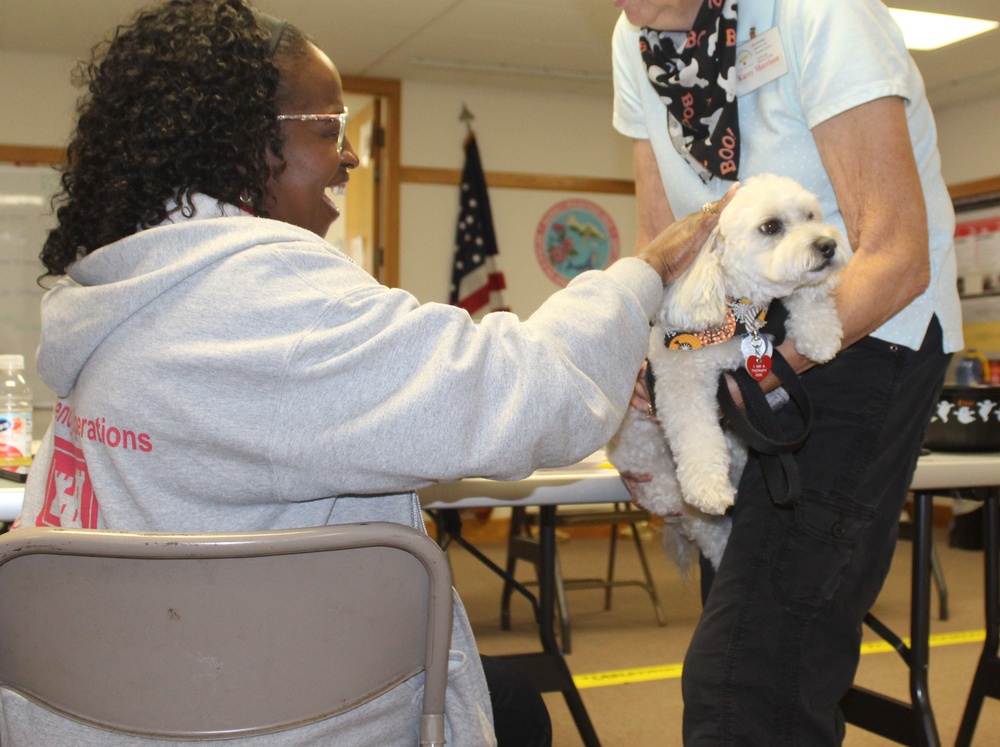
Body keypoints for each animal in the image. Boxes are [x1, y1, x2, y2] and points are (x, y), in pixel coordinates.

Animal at [604, 175, 848, 568]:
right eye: (771, 227)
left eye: (811, 216)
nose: (827, 245)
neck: (739, 313)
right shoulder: (681, 384)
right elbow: (697, 436)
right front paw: (708, 487)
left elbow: (804, 296)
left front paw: (820, 334)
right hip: (668, 492)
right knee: (708, 531)